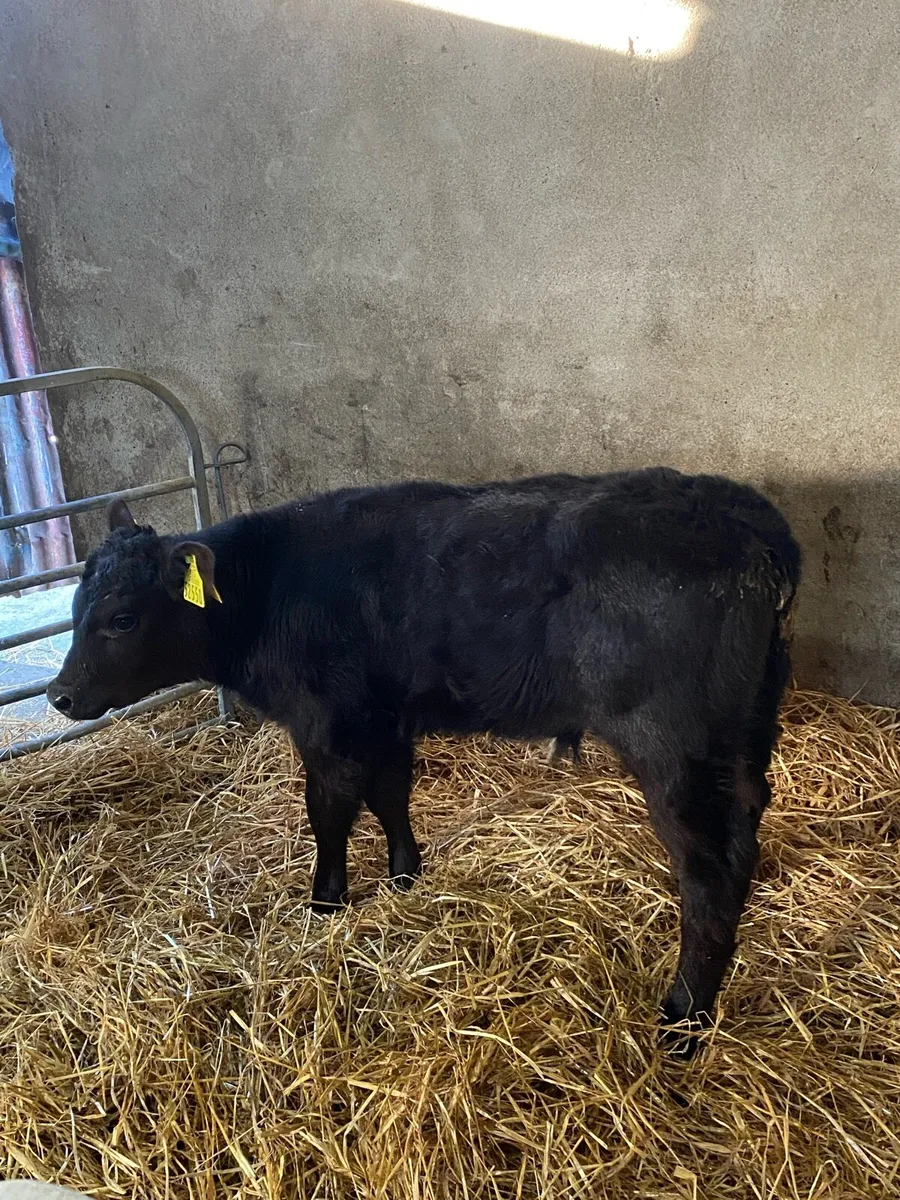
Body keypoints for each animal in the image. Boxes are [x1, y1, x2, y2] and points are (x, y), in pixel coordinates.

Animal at [47, 468, 801, 1054]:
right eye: (78, 604)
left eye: (121, 618)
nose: (59, 695)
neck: (268, 593)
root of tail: (738, 513)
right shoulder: (383, 717)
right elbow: (390, 794)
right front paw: (406, 875)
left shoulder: (329, 721)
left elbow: (328, 811)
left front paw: (325, 903)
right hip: (743, 736)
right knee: (743, 840)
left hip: (672, 745)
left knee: (707, 870)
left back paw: (685, 1018)